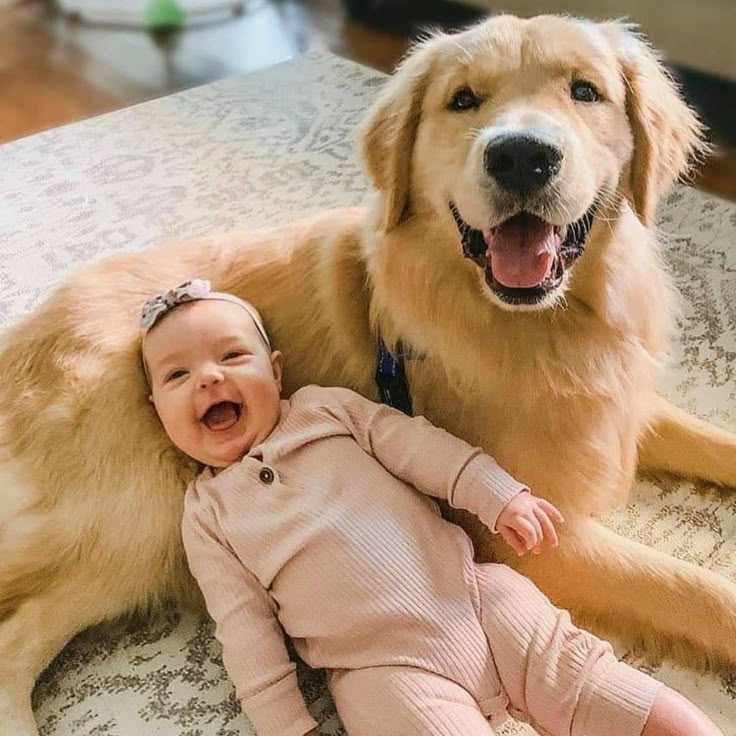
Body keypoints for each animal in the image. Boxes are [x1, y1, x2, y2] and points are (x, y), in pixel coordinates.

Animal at [1, 12, 736, 736]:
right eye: (463, 100)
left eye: (586, 92)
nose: (521, 156)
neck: (539, 326)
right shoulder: (541, 544)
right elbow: (693, 590)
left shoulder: (624, 407)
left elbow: (714, 444)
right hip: (147, 517)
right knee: (15, 640)